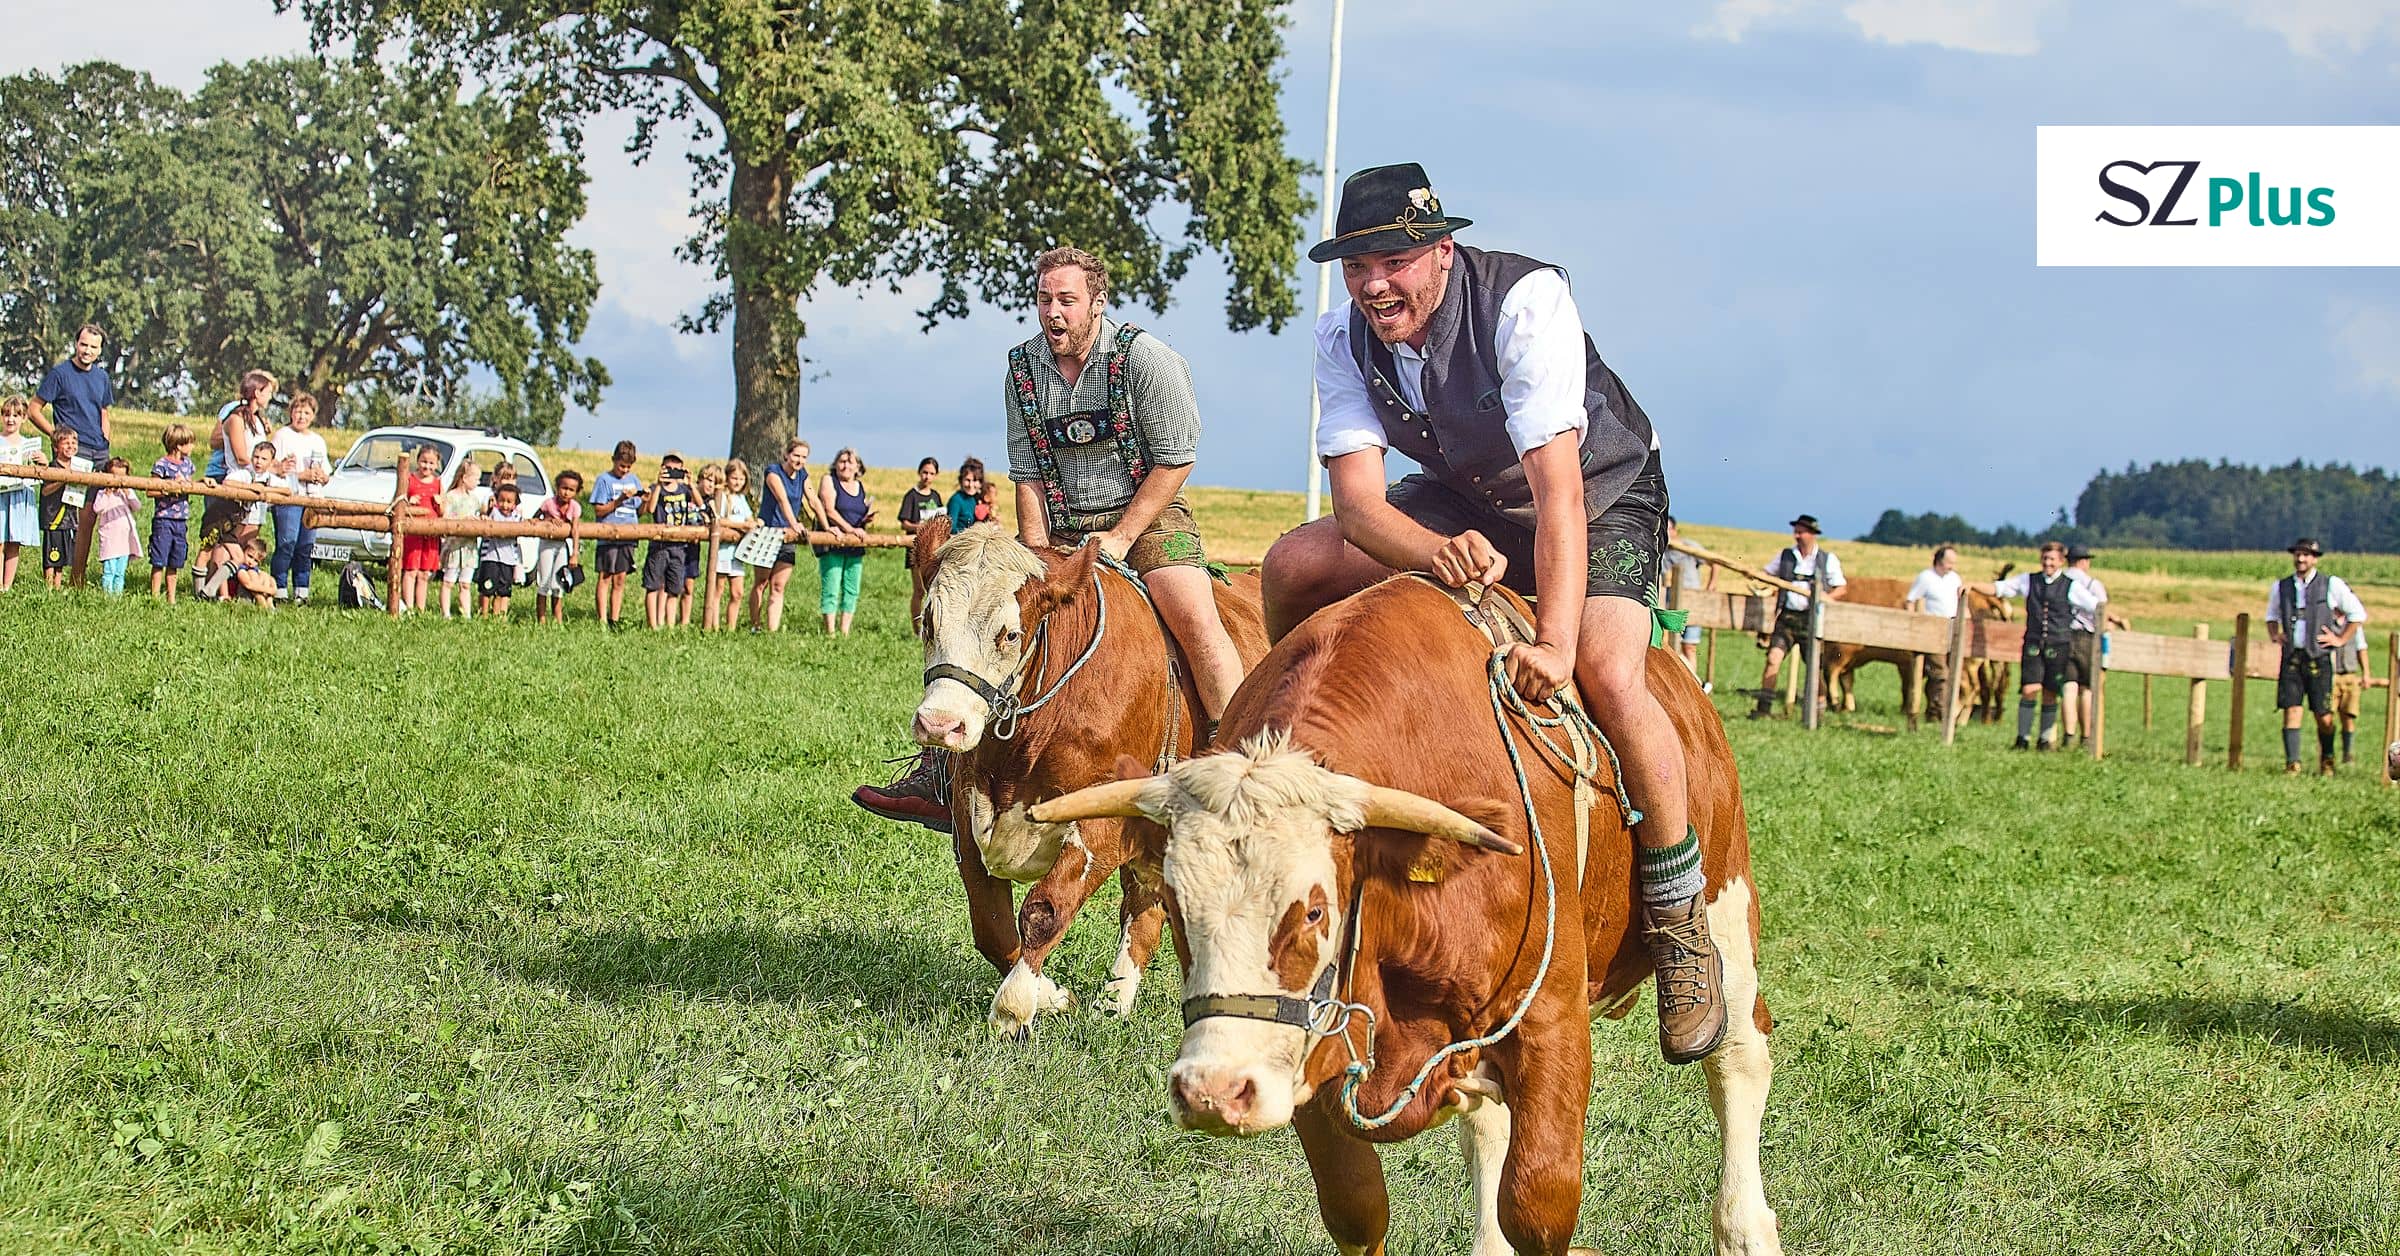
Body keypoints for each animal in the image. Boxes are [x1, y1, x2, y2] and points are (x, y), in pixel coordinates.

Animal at [902, 518, 1276, 1042]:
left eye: (1010, 634)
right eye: (929, 621)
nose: (940, 724)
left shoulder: (1103, 824)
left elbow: (1044, 909)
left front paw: (1013, 1008)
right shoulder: (968, 815)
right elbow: (991, 923)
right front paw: (1053, 995)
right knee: (1145, 908)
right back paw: (1113, 1002)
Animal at [1036, 581, 1785, 1256]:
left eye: (1314, 910)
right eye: (1176, 907)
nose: (1214, 1092)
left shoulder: (1551, 1024)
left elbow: (1538, 1205)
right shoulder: (1315, 1055)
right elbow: (1357, 1208)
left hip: (1727, 914)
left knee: (1739, 1059)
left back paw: (1745, 1228)